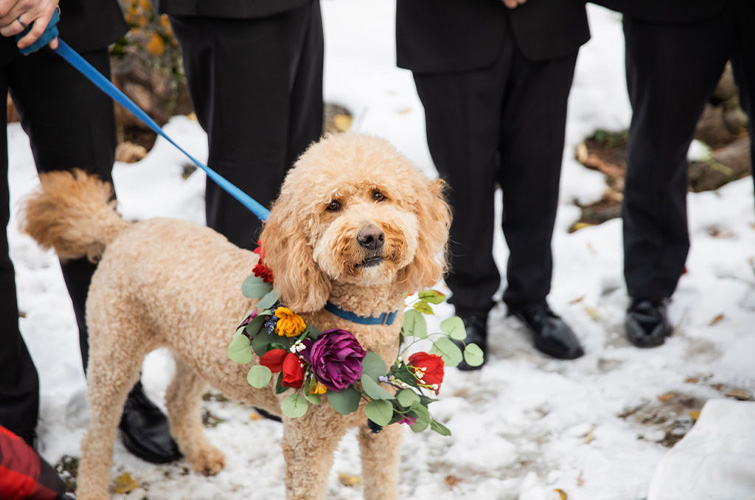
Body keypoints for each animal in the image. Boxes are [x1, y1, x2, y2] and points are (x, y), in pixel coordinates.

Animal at [22, 134, 448, 500]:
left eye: (379, 195)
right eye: (333, 206)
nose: (370, 236)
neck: (356, 319)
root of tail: (122, 230)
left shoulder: (383, 431)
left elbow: (382, 484)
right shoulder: (307, 445)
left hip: (196, 351)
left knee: (177, 398)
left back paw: (201, 454)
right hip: (114, 351)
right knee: (96, 437)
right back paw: (94, 485)